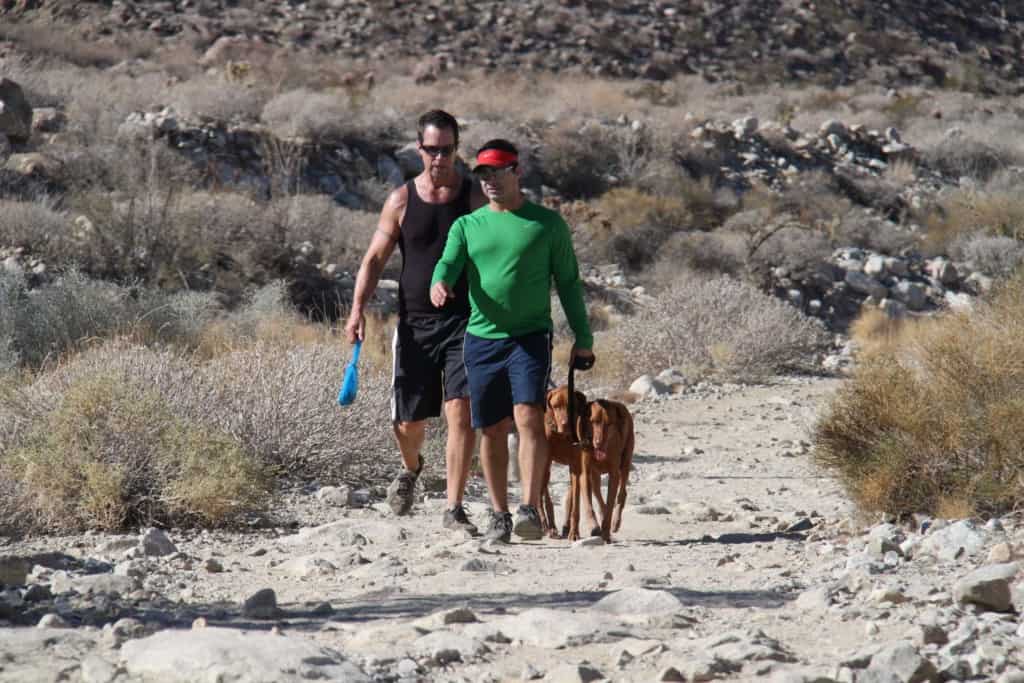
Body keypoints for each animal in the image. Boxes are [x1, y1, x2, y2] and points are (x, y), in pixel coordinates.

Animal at [577, 397, 630, 540]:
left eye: (609, 424)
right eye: (593, 421)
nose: (598, 443)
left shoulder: (614, 475)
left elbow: (611, 503)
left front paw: (606, 531)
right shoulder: (585, 474)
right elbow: (589, 505)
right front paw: (594, 526)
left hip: (626, 462)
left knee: (622, 493)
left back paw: (615, 522)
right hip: (595, 476)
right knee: (598, 495)